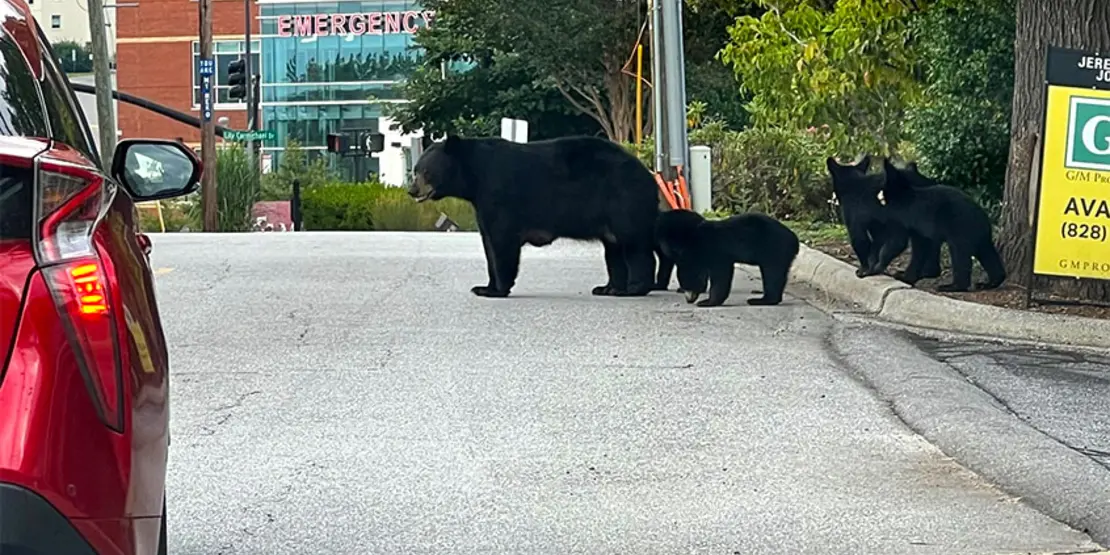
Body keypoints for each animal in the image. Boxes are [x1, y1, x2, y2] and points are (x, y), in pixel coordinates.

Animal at [408, 135, 662, 298]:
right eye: (415, 170)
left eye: (427, 171)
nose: (412, 190)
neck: (475, 177)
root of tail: (648, 175)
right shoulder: (481, 204)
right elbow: (488, 242)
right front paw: (484, 286)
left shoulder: (498, 195)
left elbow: (501, 241)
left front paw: (496, 289)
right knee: (614, 249)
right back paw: (609, 288)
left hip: (622, 198)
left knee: (633, 244)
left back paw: (634, 288)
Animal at [655, 209, 800, 307]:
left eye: (687, 286)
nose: (688, 300)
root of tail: (794, 240)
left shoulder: (718, 254)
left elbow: (721, 277)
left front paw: (707, 302)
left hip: (774, 250)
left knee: (772, 273)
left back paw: (761, 300)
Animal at [879, 157, 1007, 291]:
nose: (879, 196)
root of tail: (984, 219)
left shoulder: (908, 219)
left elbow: (901, 243)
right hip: (980, 236)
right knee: (987, 253)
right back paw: (991, 282)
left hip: (961, 229)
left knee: (959, 254)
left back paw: (953, 286)